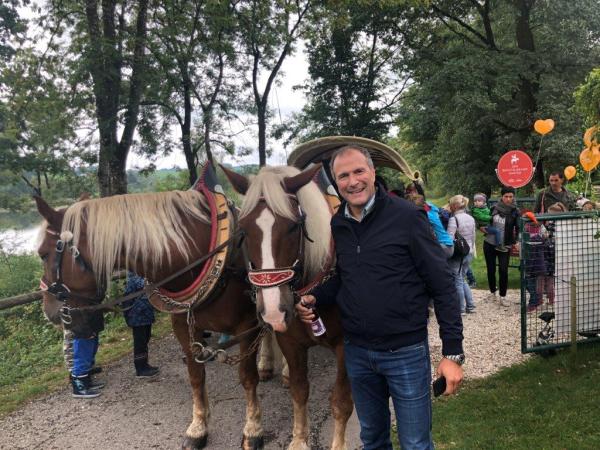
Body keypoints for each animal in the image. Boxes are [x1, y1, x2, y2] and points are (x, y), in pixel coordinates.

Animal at [34, 191, 264, 450]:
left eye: (43, 254)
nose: (48, 311)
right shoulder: (184, 327)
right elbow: (196, 377)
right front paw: (198, 428)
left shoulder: (249, 326)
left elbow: (247, 377)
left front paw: (253, 429)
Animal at [221, 164, 354, 450]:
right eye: (243, 231)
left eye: (294, 227)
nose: (274, 311)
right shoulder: (290, 341)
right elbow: (299, 390)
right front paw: (299, 440)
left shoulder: (347, 346)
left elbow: (341, 402)